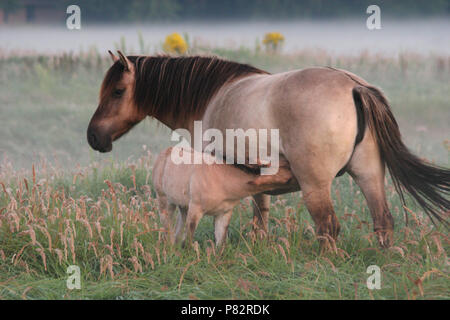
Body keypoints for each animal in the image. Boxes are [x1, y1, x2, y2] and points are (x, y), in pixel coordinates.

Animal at [86, 52, 448, 248]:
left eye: (117, 91)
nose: (94, 137)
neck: (211, 96)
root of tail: (353, 86)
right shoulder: (255, 176)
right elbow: (260, 215)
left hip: (316, 186)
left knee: (328, 227)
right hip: (369, 174)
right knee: (382, 222)